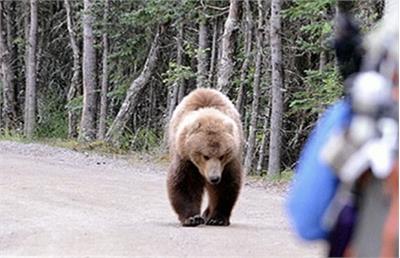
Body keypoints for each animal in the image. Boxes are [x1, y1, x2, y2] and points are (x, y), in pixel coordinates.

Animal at [166, 88, 244, 226]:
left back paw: (207, 214)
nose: (214, 178)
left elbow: (225, 185)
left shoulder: (228, 163)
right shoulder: (185, 158)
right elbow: (185, 183)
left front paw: (217, 218)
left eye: (222, 155)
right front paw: (192, 218)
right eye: (205, 156)